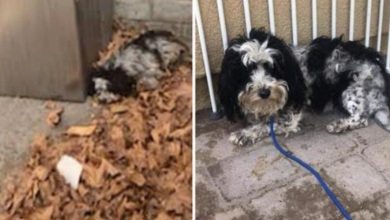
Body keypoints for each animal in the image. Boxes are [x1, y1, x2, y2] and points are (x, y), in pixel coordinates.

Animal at [218, 28, 390, 147]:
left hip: (350, 91)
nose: (264, 92)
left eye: (272, 68)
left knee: (362, 118)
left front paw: (244, 134)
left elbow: (267, 125)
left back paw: (339, 125)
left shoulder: (290, 116)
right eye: (247, 71)